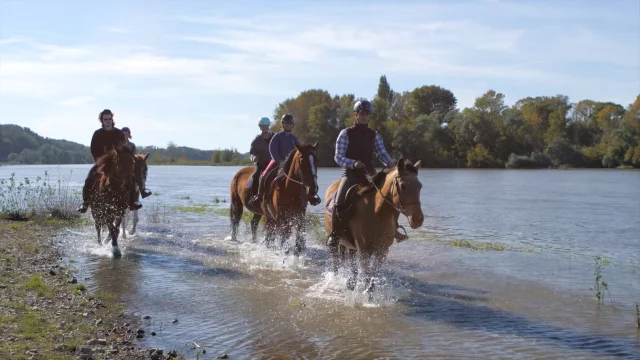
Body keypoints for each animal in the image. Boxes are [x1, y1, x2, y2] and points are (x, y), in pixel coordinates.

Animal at [322, 159, 422, 294]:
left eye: (420, 186)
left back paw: (351, 283)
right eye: (402, 186)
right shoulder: (364, 251)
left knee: (351, 260)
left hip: (351, 245)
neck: (376, 213)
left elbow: (372, 278)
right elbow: (367, 276)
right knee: (336, 263)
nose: (418, 219)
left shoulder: (382, 251)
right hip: (335, 243)